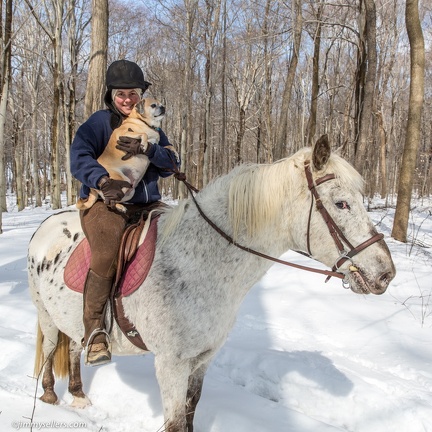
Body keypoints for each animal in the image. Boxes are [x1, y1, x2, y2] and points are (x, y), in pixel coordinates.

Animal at [28, 136, 396, 432]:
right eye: (341, 203)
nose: (386, 273)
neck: (197, 264)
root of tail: (46, 226)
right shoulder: (171, 365)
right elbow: (176, 423)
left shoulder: (201, 360)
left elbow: (191, 413)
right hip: (46, 316)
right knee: (51, 350)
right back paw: (49, 395)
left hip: (72, 321)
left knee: (74, 347)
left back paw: (78, 395)